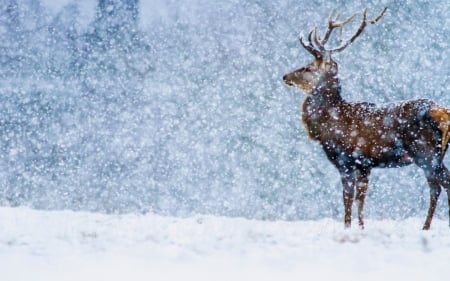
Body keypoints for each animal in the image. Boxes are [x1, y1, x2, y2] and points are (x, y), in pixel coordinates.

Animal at [284, 7, 450, 230]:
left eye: (309, 67)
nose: (285, 76)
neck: (330, 124)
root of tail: (443, 113)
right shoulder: (365, 165)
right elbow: (359, 199)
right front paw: (360, 227)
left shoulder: (349, 159)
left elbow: (349, 198)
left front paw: (350, 228)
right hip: (436, 154)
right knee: (439, 185)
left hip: (426, 152)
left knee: (439, 185)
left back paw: (425, 227)